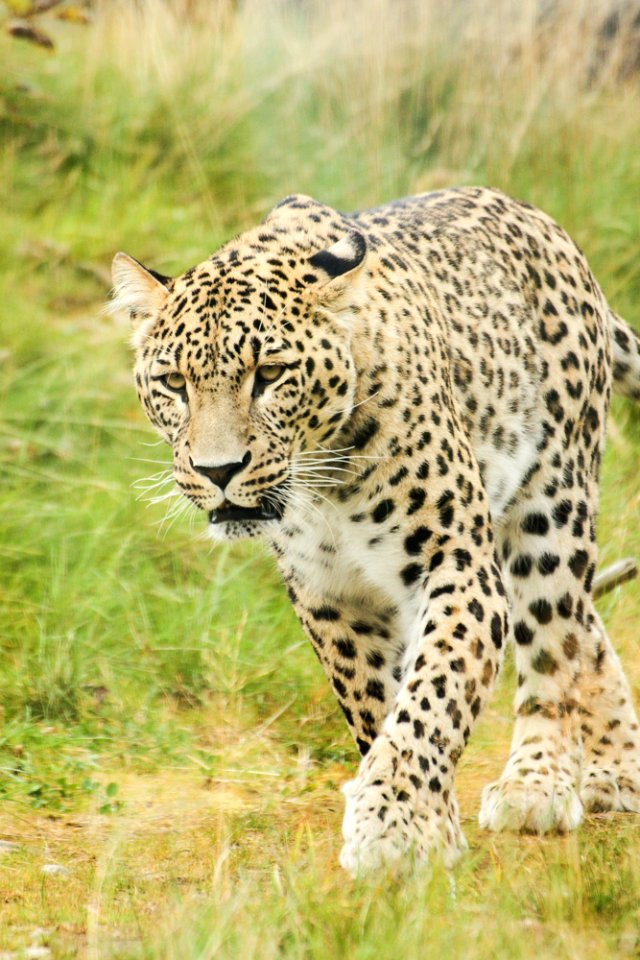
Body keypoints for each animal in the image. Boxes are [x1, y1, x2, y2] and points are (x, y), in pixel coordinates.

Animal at [112, 189, 640, 876]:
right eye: (174, 383)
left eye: (269, 375)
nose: (218, 470)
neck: (323, 480)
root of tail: (543, 222)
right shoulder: (330, 594)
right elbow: (376, 704)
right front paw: (419, 817)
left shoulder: (455, 561)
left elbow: (434, 694)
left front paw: (394, 825)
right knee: (585, 626)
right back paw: (616, 769)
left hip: (550, 510)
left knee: (556, 638)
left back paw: (538, 783)